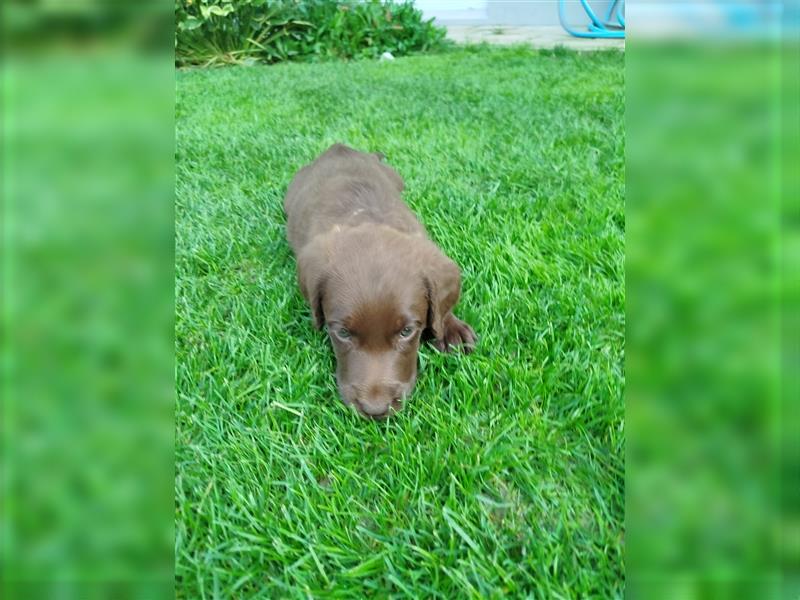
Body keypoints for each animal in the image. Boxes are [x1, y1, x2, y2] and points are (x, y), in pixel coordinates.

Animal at [286, 144, 478, 420]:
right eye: (342, 333)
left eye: (407, 331)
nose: (375, 410)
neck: (366, 218)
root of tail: (338, 148)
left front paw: (451, 328)